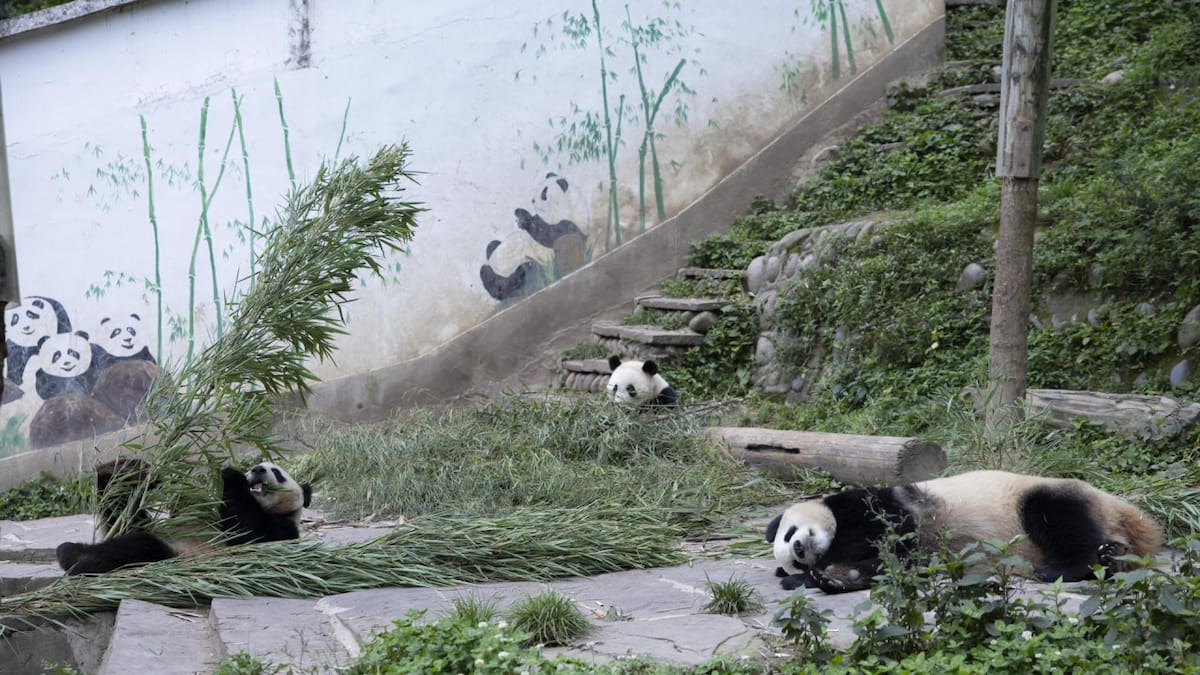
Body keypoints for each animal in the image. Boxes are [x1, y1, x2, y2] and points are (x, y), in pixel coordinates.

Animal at [56, 460, 313, 575]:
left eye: (277, 472)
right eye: (255, 466)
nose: (257, 469)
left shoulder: (281, 529)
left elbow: (246, 534)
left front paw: (231, 474)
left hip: (174, 555)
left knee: (137, 546)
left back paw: (75, 557)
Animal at [766, 470, 1163, 594]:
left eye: (788, 533)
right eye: (793, 559)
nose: (800, 549)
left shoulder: (876, 505)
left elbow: (890, 535)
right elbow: (891, 565)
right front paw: (831, 577)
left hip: (1043, 495)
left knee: (1056, 517)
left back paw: (1059, 568)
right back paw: (1112, 559)